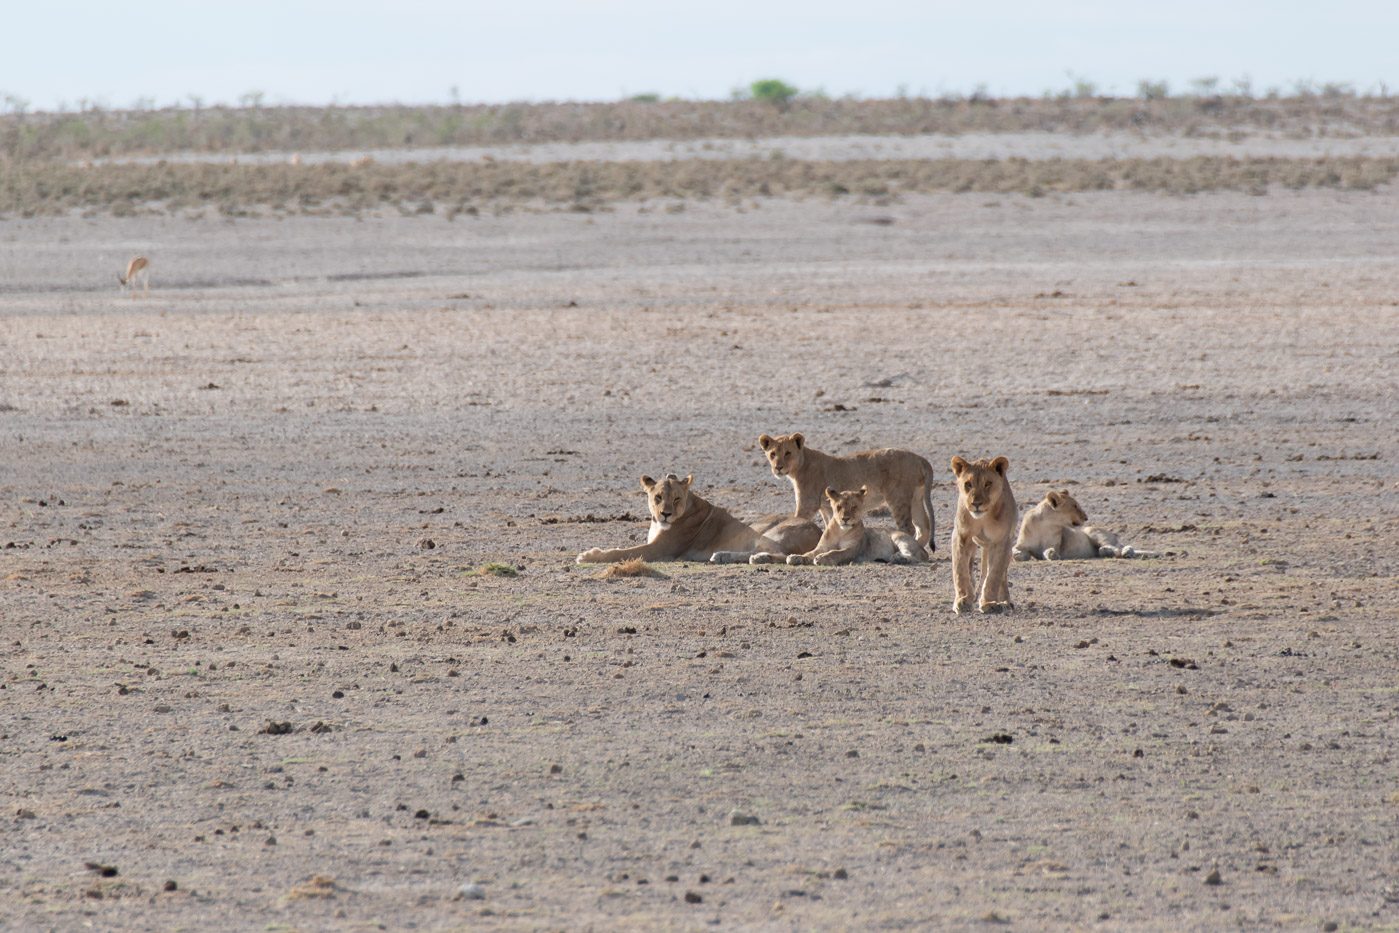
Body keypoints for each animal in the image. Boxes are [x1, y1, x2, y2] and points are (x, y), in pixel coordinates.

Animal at [576, 475, 822, 562]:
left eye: (676, 498)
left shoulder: (660, 549)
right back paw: (722, 556)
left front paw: (588, 556)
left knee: (781, 555)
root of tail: (820, 531)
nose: (665, 514)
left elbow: (620, 552)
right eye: (658, 497)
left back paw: (756, 559)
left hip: (769, 533)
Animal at [1018, 489, 1158, 562]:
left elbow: (1049, 550)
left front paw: (1052, 554)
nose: (1086, 518)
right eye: (1075, 506)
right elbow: (1016, 552)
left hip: (1093, 531)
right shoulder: (1021, 544)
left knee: (1118, 547)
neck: (1046, 524)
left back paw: (1120, 551)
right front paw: (1021, 556)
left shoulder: (1054, 544)